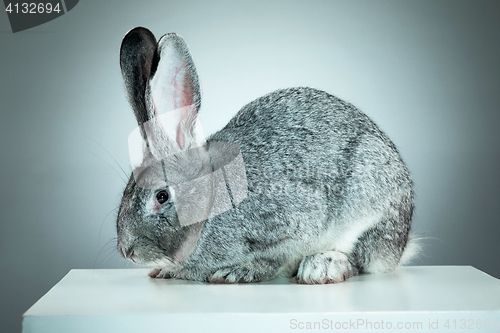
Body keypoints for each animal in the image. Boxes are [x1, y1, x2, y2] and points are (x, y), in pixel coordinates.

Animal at [115, 27, 416, 284]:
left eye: (161, 196)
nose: (127, 251)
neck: (210, 201)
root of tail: (401, 246)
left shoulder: (291, 226)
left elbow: (273, 259)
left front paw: (236, 273)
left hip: (371, 206)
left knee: (360, 261)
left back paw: (322, 267)